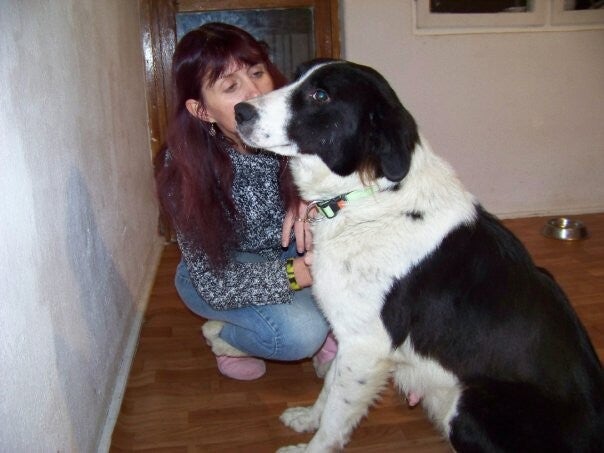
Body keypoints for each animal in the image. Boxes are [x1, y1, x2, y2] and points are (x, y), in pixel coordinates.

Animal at [235, 59, 603, 452]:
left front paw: (313, 446)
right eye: (296, 76)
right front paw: (308, 418)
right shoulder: (351, 335)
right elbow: (329, 388)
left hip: (469, 405)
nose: (239, 111)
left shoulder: (365, 345)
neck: (368, 194)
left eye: (321, 95)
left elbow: (337, 414)